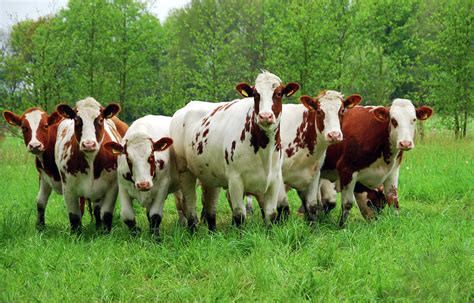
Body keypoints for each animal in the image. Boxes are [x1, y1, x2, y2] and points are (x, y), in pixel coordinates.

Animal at [54, 97, 125, 233]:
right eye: (77, 119)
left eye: (100, 119)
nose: (88, 144)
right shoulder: (68, 189)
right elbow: (75, 217)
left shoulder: (112, 188)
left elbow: (106, 215)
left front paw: (105, 233)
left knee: (97, 211)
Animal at [276, 90, 362, 221]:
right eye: (320, 111)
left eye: (342, 110)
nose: (334, 135)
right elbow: (283, 207)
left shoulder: (315, 174)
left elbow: (311, 206)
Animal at [320, 98, 432, 227]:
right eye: (393, 120)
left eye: (413, 119)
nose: (405, 143)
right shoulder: (346, 170)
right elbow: (345, 204)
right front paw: (341, 226)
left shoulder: (393, 171)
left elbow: (393, 200)